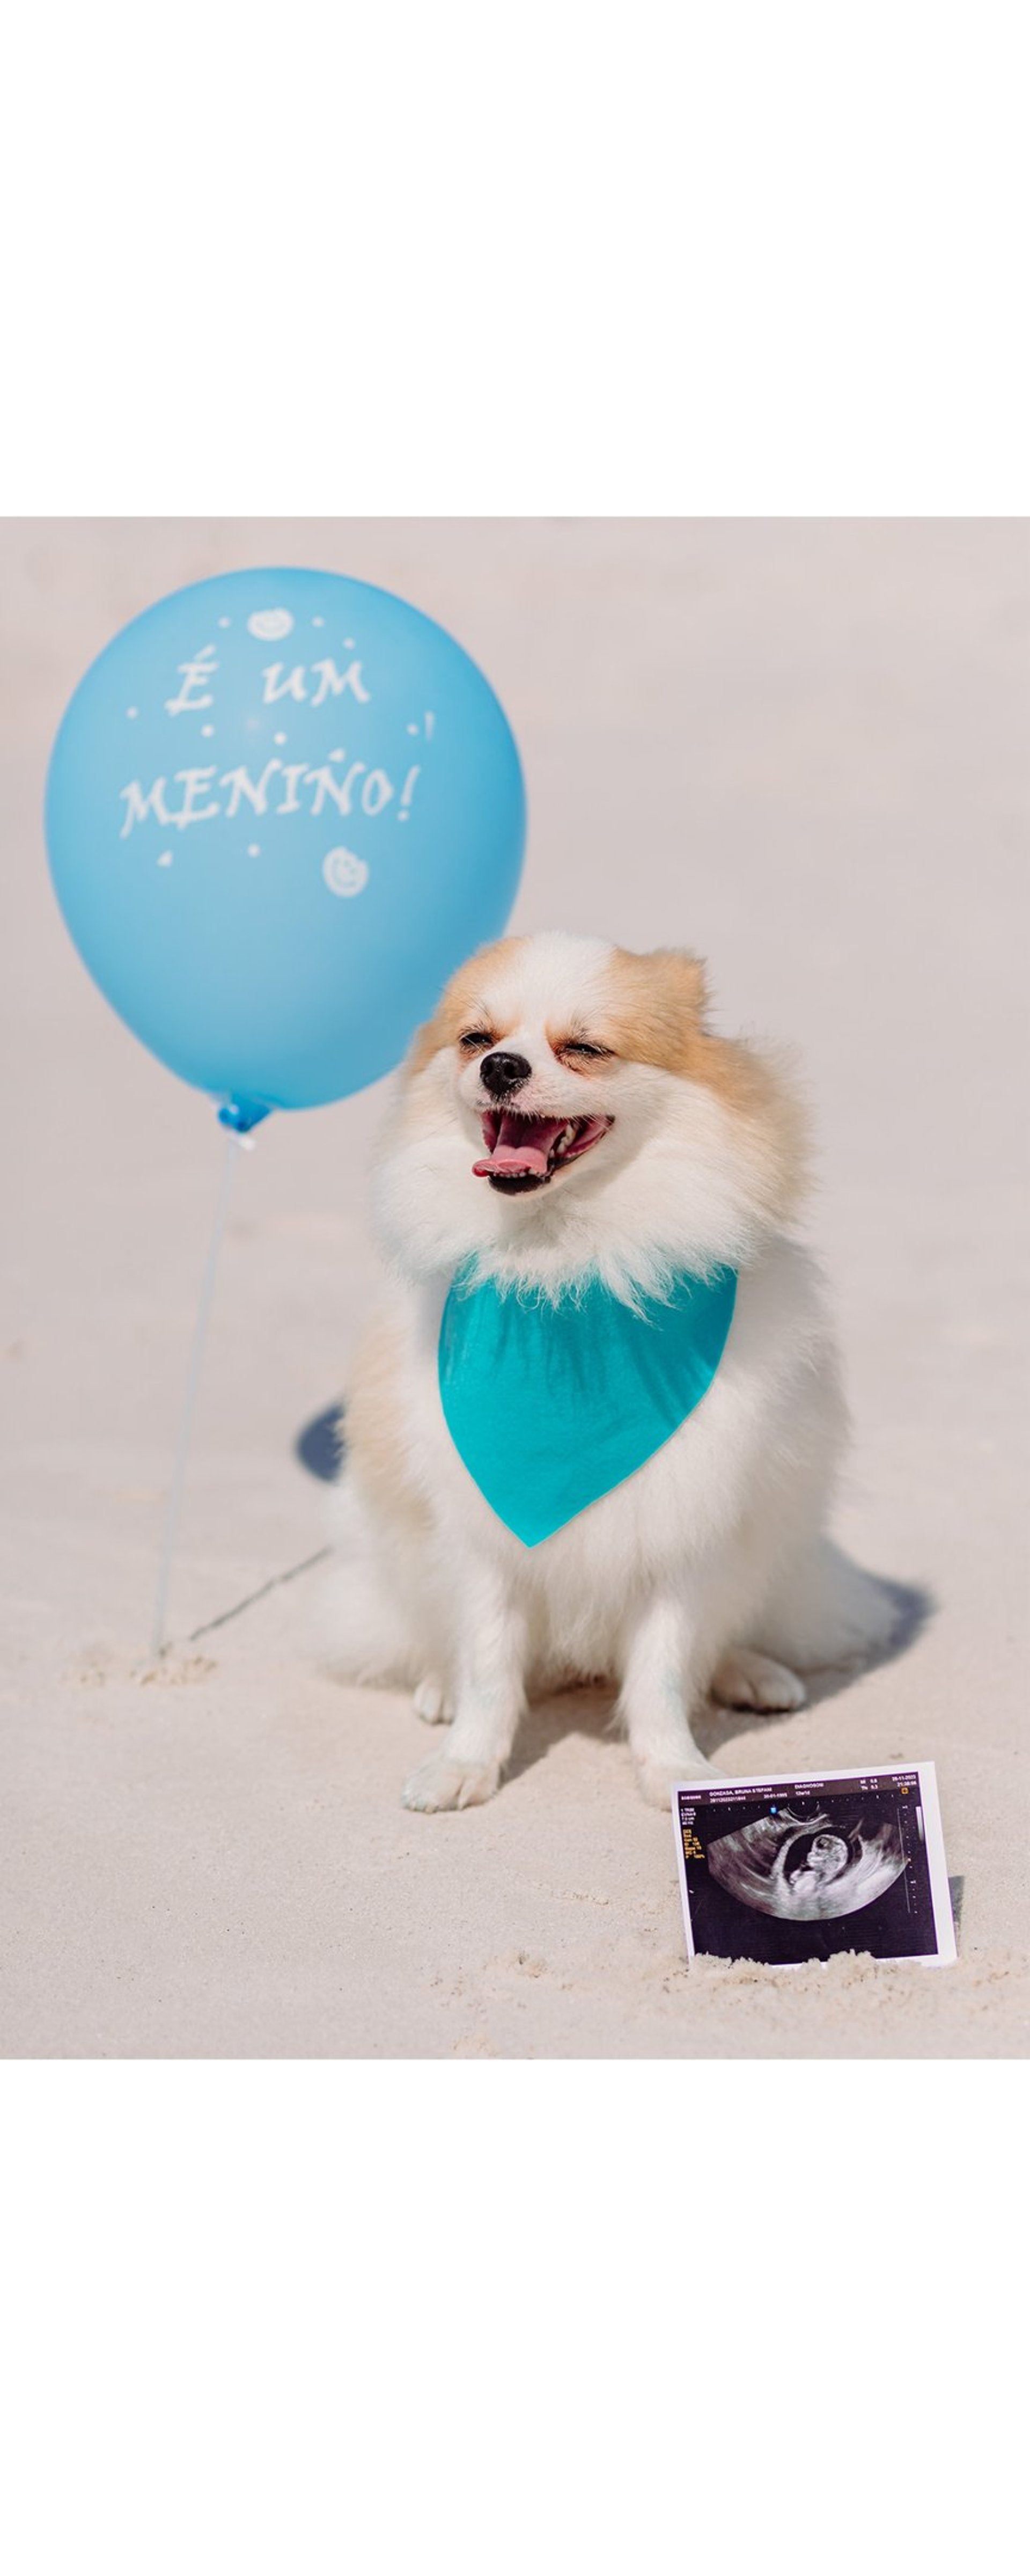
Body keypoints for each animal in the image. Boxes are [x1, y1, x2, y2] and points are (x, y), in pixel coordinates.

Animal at [325, 931, 896, 1810]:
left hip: (773, 1535)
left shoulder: (682, 1521)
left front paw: (674, 1769)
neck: (568, 1263)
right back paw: (440, 1686)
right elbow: (490, 1665)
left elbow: (662, 1670)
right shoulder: (480, 1533)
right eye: (477, 1040)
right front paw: (467, 1762)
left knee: (731, 1626)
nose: (502, 1069)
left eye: (585, 1049)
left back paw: (750, 1671)